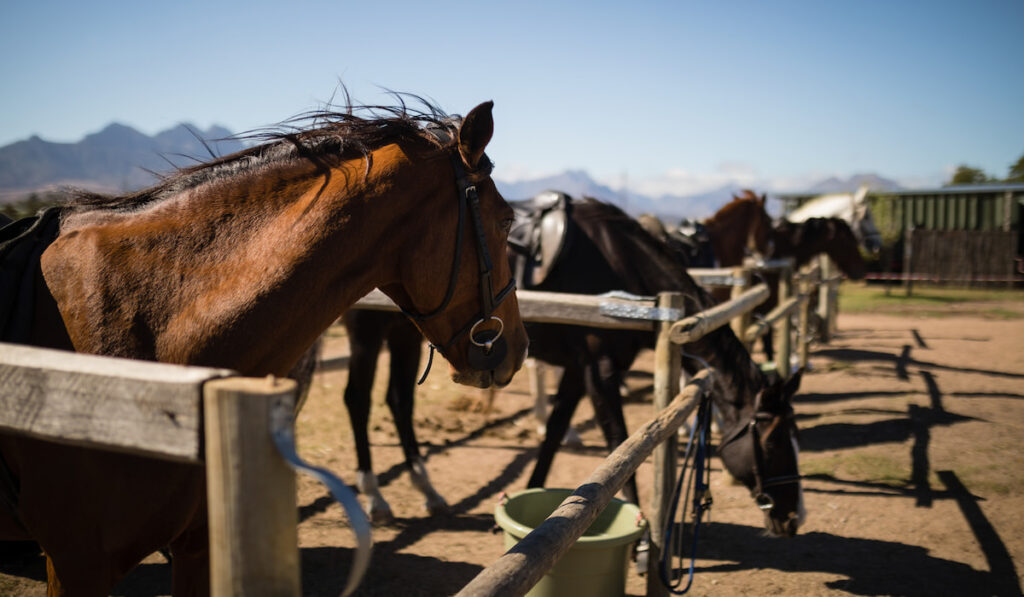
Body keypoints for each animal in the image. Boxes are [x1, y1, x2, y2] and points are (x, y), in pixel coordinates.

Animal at [339, 196, 802, 536]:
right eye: (774, 443)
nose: (794, 516)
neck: (623, 270)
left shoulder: (580, 373)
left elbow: (555, 433)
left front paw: (519, 510)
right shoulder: (601, 371)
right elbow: (620, 444)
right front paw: (638, 539)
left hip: (405, 335)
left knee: (399, 401)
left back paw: (429, 491)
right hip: (368, 334)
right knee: (358, 400)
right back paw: (375, 498)